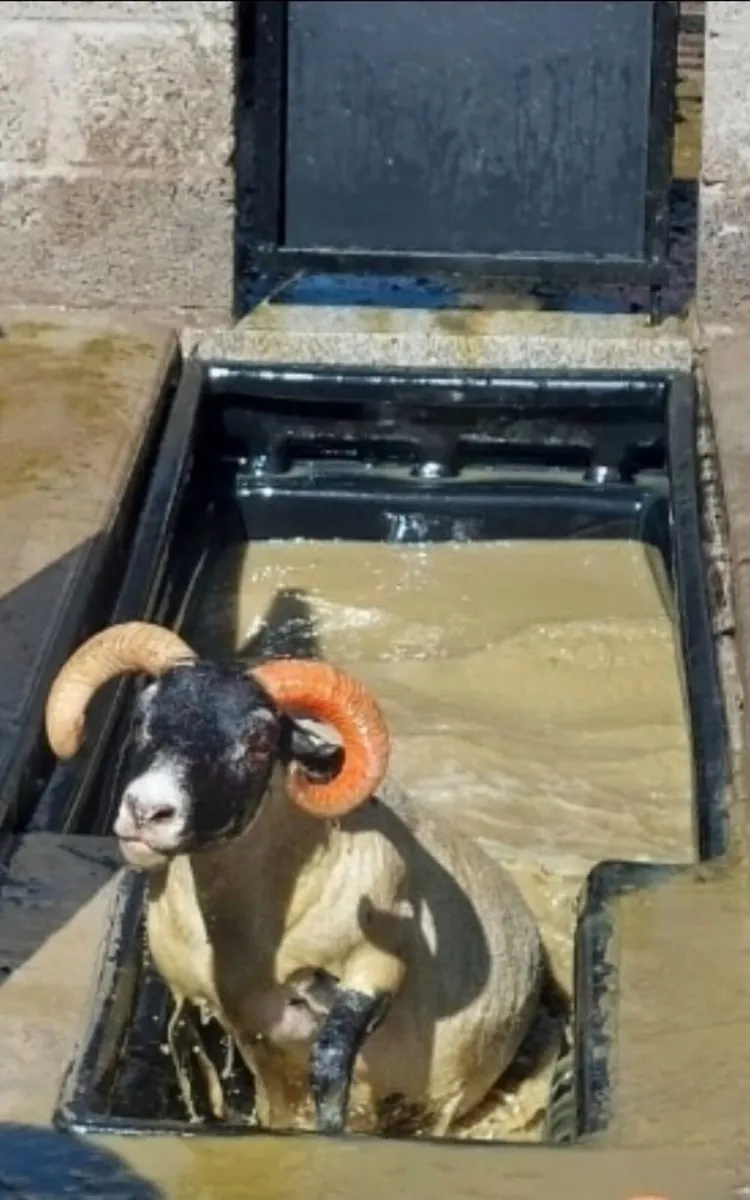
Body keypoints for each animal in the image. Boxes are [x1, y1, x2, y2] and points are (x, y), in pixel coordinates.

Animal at [45, 620, 545, 1136]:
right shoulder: (215, 1008)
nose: (147, 811)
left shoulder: (376, 967)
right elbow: (233, 1080)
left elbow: (329, 1061)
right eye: (143, 717)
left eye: (261, 741)